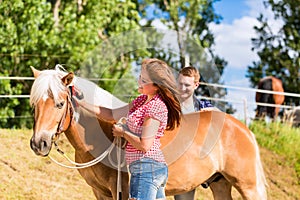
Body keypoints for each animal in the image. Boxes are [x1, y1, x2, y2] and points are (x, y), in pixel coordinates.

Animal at [28, 66, 268, 200]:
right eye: (34, 104)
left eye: (60, 104)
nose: (39, 143)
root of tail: (243, 129)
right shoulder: (100, 192)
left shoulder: (121, 191)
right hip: (220, 184)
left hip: (249, 187)